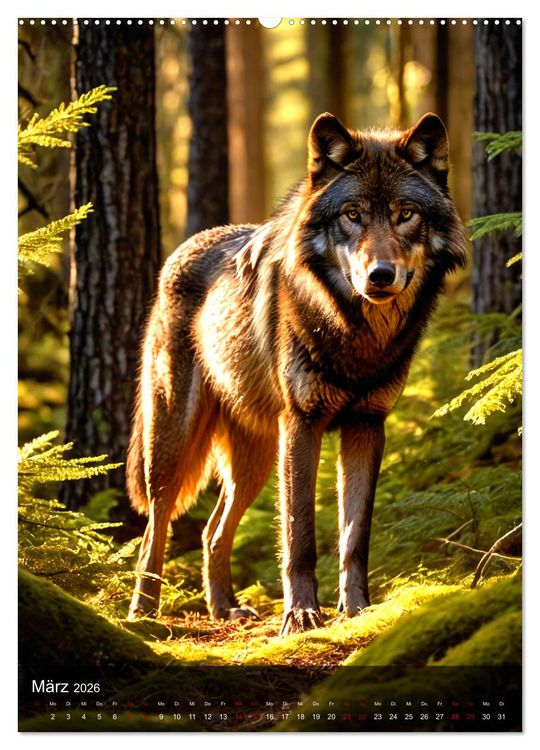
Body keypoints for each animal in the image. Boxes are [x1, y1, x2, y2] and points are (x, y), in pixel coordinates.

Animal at [126, 112, 467, 635]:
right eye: (352, 214)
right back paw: (142, 614)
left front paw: (358, 610)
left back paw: (224, 608)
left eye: (406, 213)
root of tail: (183, 247)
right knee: (156, 526)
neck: (356, 335)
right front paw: (302, 614)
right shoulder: (302, 425)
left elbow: (354, 536)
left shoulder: (368, 426)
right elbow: (300, 535)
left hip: (257, 457)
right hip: (175, 441)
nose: (380, 276)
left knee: (211, 531)